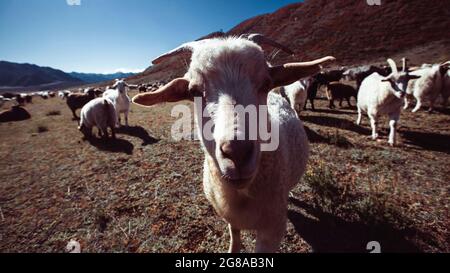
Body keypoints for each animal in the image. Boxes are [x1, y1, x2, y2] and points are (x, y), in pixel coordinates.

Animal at [131, 35, 334, 252]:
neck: (240, 196)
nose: (237, 152)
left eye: (265, 83)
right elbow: (234, 236)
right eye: (194, 91)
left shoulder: (272, 229)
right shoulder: (230, 217)